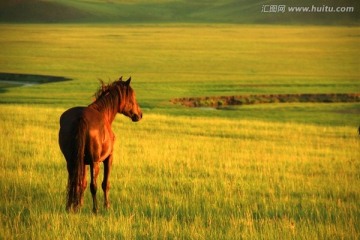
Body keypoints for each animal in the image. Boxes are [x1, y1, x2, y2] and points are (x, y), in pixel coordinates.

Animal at [58, 76, 141, 212]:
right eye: (132, 96)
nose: (139, 114)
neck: (103, 113)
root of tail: (81, 118)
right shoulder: (109, 158)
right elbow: (105, 183)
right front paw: (107, 206)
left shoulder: (83, 162)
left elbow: (82, 183)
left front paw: (79, 205)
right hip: (94, 162)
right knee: (94, 185)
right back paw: (95, 209)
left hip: (71, 161)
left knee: (73, 182)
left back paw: (70, 207)